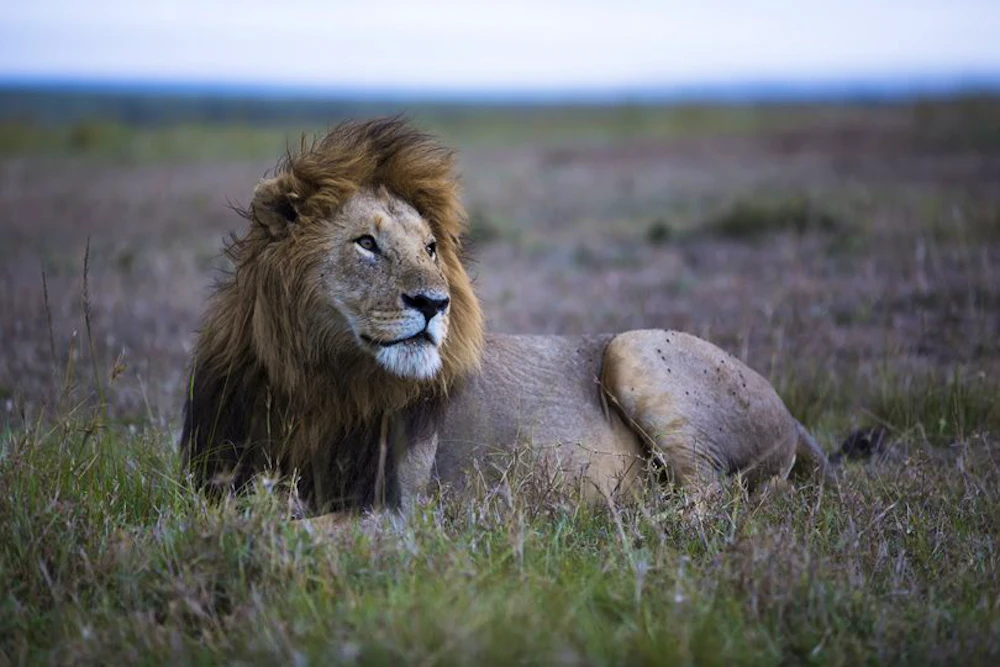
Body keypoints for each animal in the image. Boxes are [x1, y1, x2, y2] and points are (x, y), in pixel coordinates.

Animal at [181, 117, 831, 517]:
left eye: (431, 249)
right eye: (366, 243)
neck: (312, 384)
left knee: (711, 500)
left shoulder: (393, 516)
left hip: (634, 350)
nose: (434, 303)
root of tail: (795, 418)